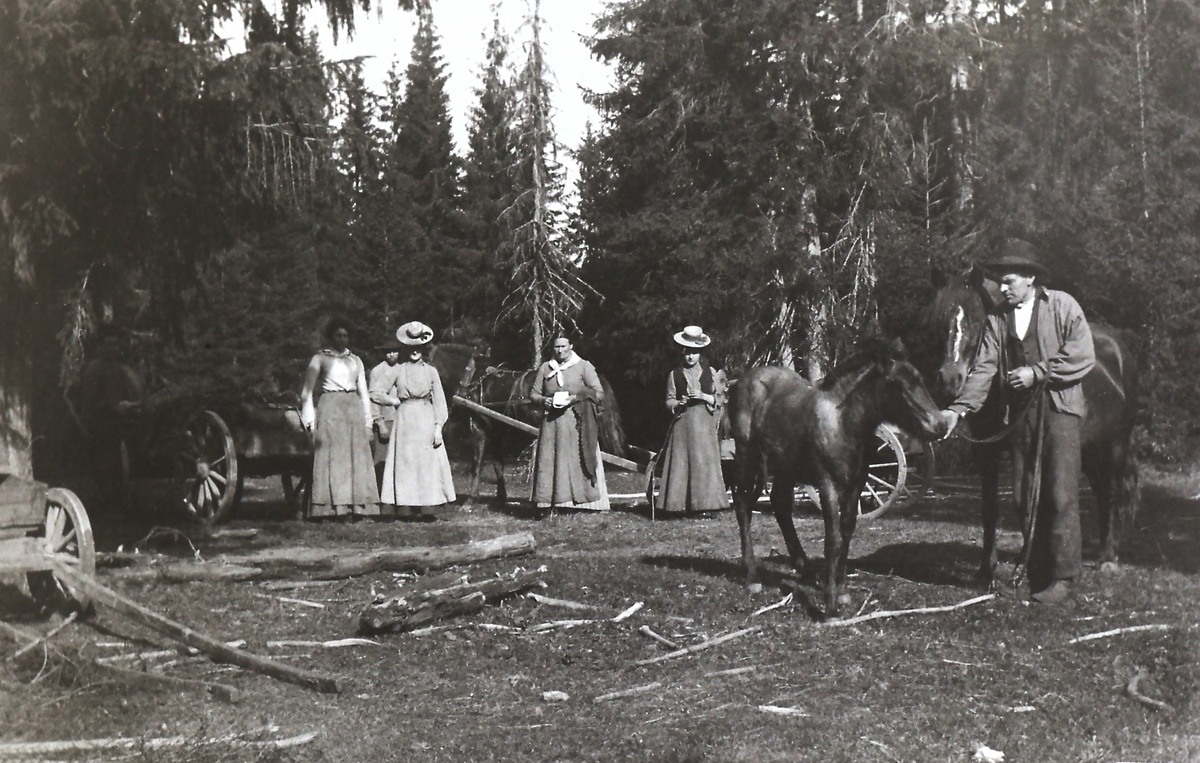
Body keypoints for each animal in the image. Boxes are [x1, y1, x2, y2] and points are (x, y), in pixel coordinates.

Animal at [720, 340, 945, 619]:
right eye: (900, 386)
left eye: (920, 380)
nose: (940, 425)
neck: (841, 423)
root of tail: (742, 380)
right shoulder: (826, 484)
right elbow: (832, 539)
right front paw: (830, 604)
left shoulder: (856, 484)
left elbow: (847, 531)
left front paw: (842, 590)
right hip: (746, 455)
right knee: (743, 505)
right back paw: (752, 577)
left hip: (785, 465)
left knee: (780, 505)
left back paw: (805, 569)